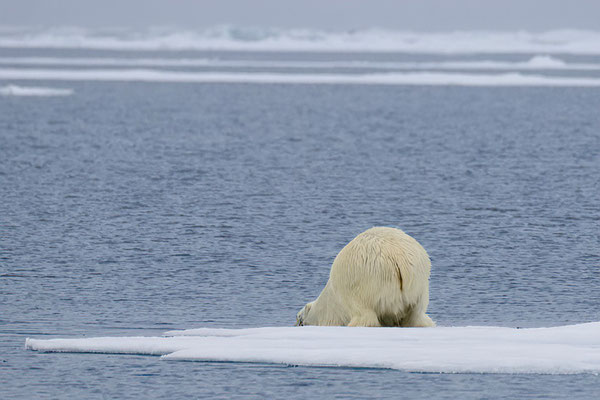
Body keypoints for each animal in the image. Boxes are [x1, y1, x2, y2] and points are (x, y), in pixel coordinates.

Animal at [296, 227, 434, 326]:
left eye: (300, 319)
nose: (296, 323)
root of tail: (398, 257)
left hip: (370, 282)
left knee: (365, 315)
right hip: (419, 284)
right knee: (417, 316)